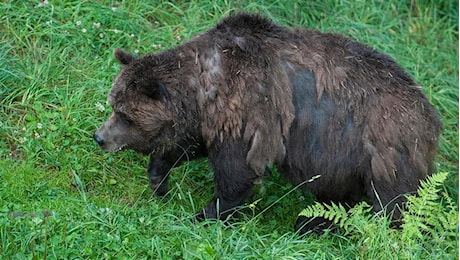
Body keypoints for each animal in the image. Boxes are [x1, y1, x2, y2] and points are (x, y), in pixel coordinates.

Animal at [93, 13, 442, 234]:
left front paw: (206, 214)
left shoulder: (249, 111)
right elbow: (186, 146)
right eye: (114, 105)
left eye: (123, 114)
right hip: (344, 159)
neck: (202, 90)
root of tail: (430, 114)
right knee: (337, 196)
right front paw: (159, 178)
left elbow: (237, 172)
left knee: (396, 205)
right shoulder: (211, 120)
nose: (99, 137)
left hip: (383, 151)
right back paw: (312, 224)